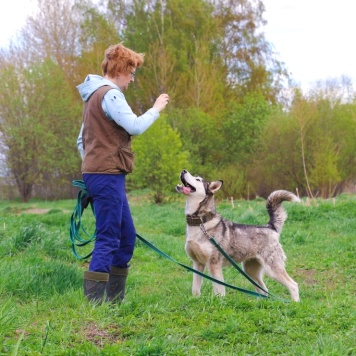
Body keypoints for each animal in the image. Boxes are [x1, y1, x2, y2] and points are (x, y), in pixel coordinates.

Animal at [175, 169, 300, 300]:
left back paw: (295, 303)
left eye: (198, 179)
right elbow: (195, 289)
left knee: (293, 285)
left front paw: (219, 302)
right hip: (250, 271)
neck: (200, 223)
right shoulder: (197, 263)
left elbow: (219, 290)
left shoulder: (214, 264)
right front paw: (195, 300)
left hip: (272, 269)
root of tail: (270, 226)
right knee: (264, 291)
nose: (183, 170)